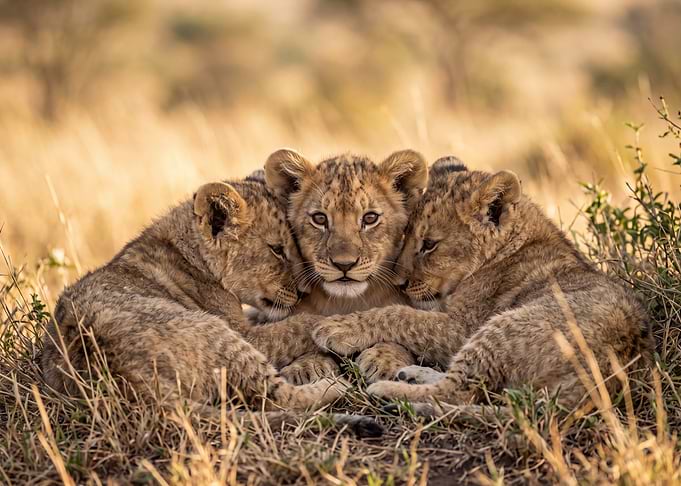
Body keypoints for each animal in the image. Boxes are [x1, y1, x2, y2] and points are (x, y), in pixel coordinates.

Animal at [312, 157, 653, 411]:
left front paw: (336, 328)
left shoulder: (461, 328)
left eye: (429, 245)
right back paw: (411, 374)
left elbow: (399, 315)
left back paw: (389, 391)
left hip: (505, 326)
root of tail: (603, 379)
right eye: (406, 235)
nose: (401, 282)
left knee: (458, 392)